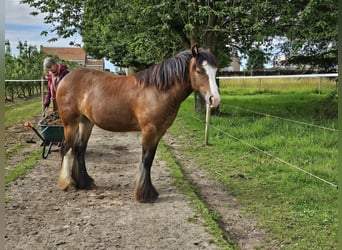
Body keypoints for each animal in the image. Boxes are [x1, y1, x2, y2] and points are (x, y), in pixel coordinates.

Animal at [55, 45, 222, 202]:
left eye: (215, 70)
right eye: (199, 71)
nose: (214, 100)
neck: (158, 90)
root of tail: (66, 79)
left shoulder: (159, 131)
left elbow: (150, 158)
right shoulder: (149, 130)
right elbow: (146, 159)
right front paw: (144, 194)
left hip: (86, 122)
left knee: (79, 148)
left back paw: (84, 182)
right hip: (70, 123)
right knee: (66, 147)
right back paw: (67, 183)